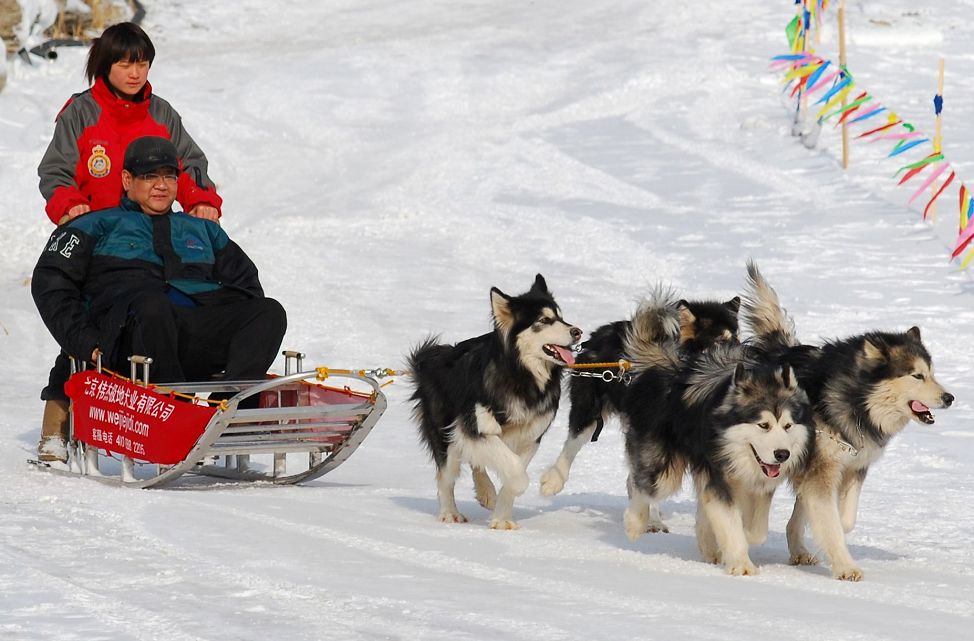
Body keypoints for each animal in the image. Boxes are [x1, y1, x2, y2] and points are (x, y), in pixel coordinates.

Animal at [406, 272, 580, 528]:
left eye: (561, 317)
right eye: (544, 320)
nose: (578, 331)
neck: (522, 377)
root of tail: (434, 359)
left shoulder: (530, 436)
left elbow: (510, 467)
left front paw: (501, 518)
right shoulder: (475, 426)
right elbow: (514, 470)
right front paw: (519, 486)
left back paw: (486, 491)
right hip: (446, 434)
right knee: (446, 476)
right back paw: (450, 512)